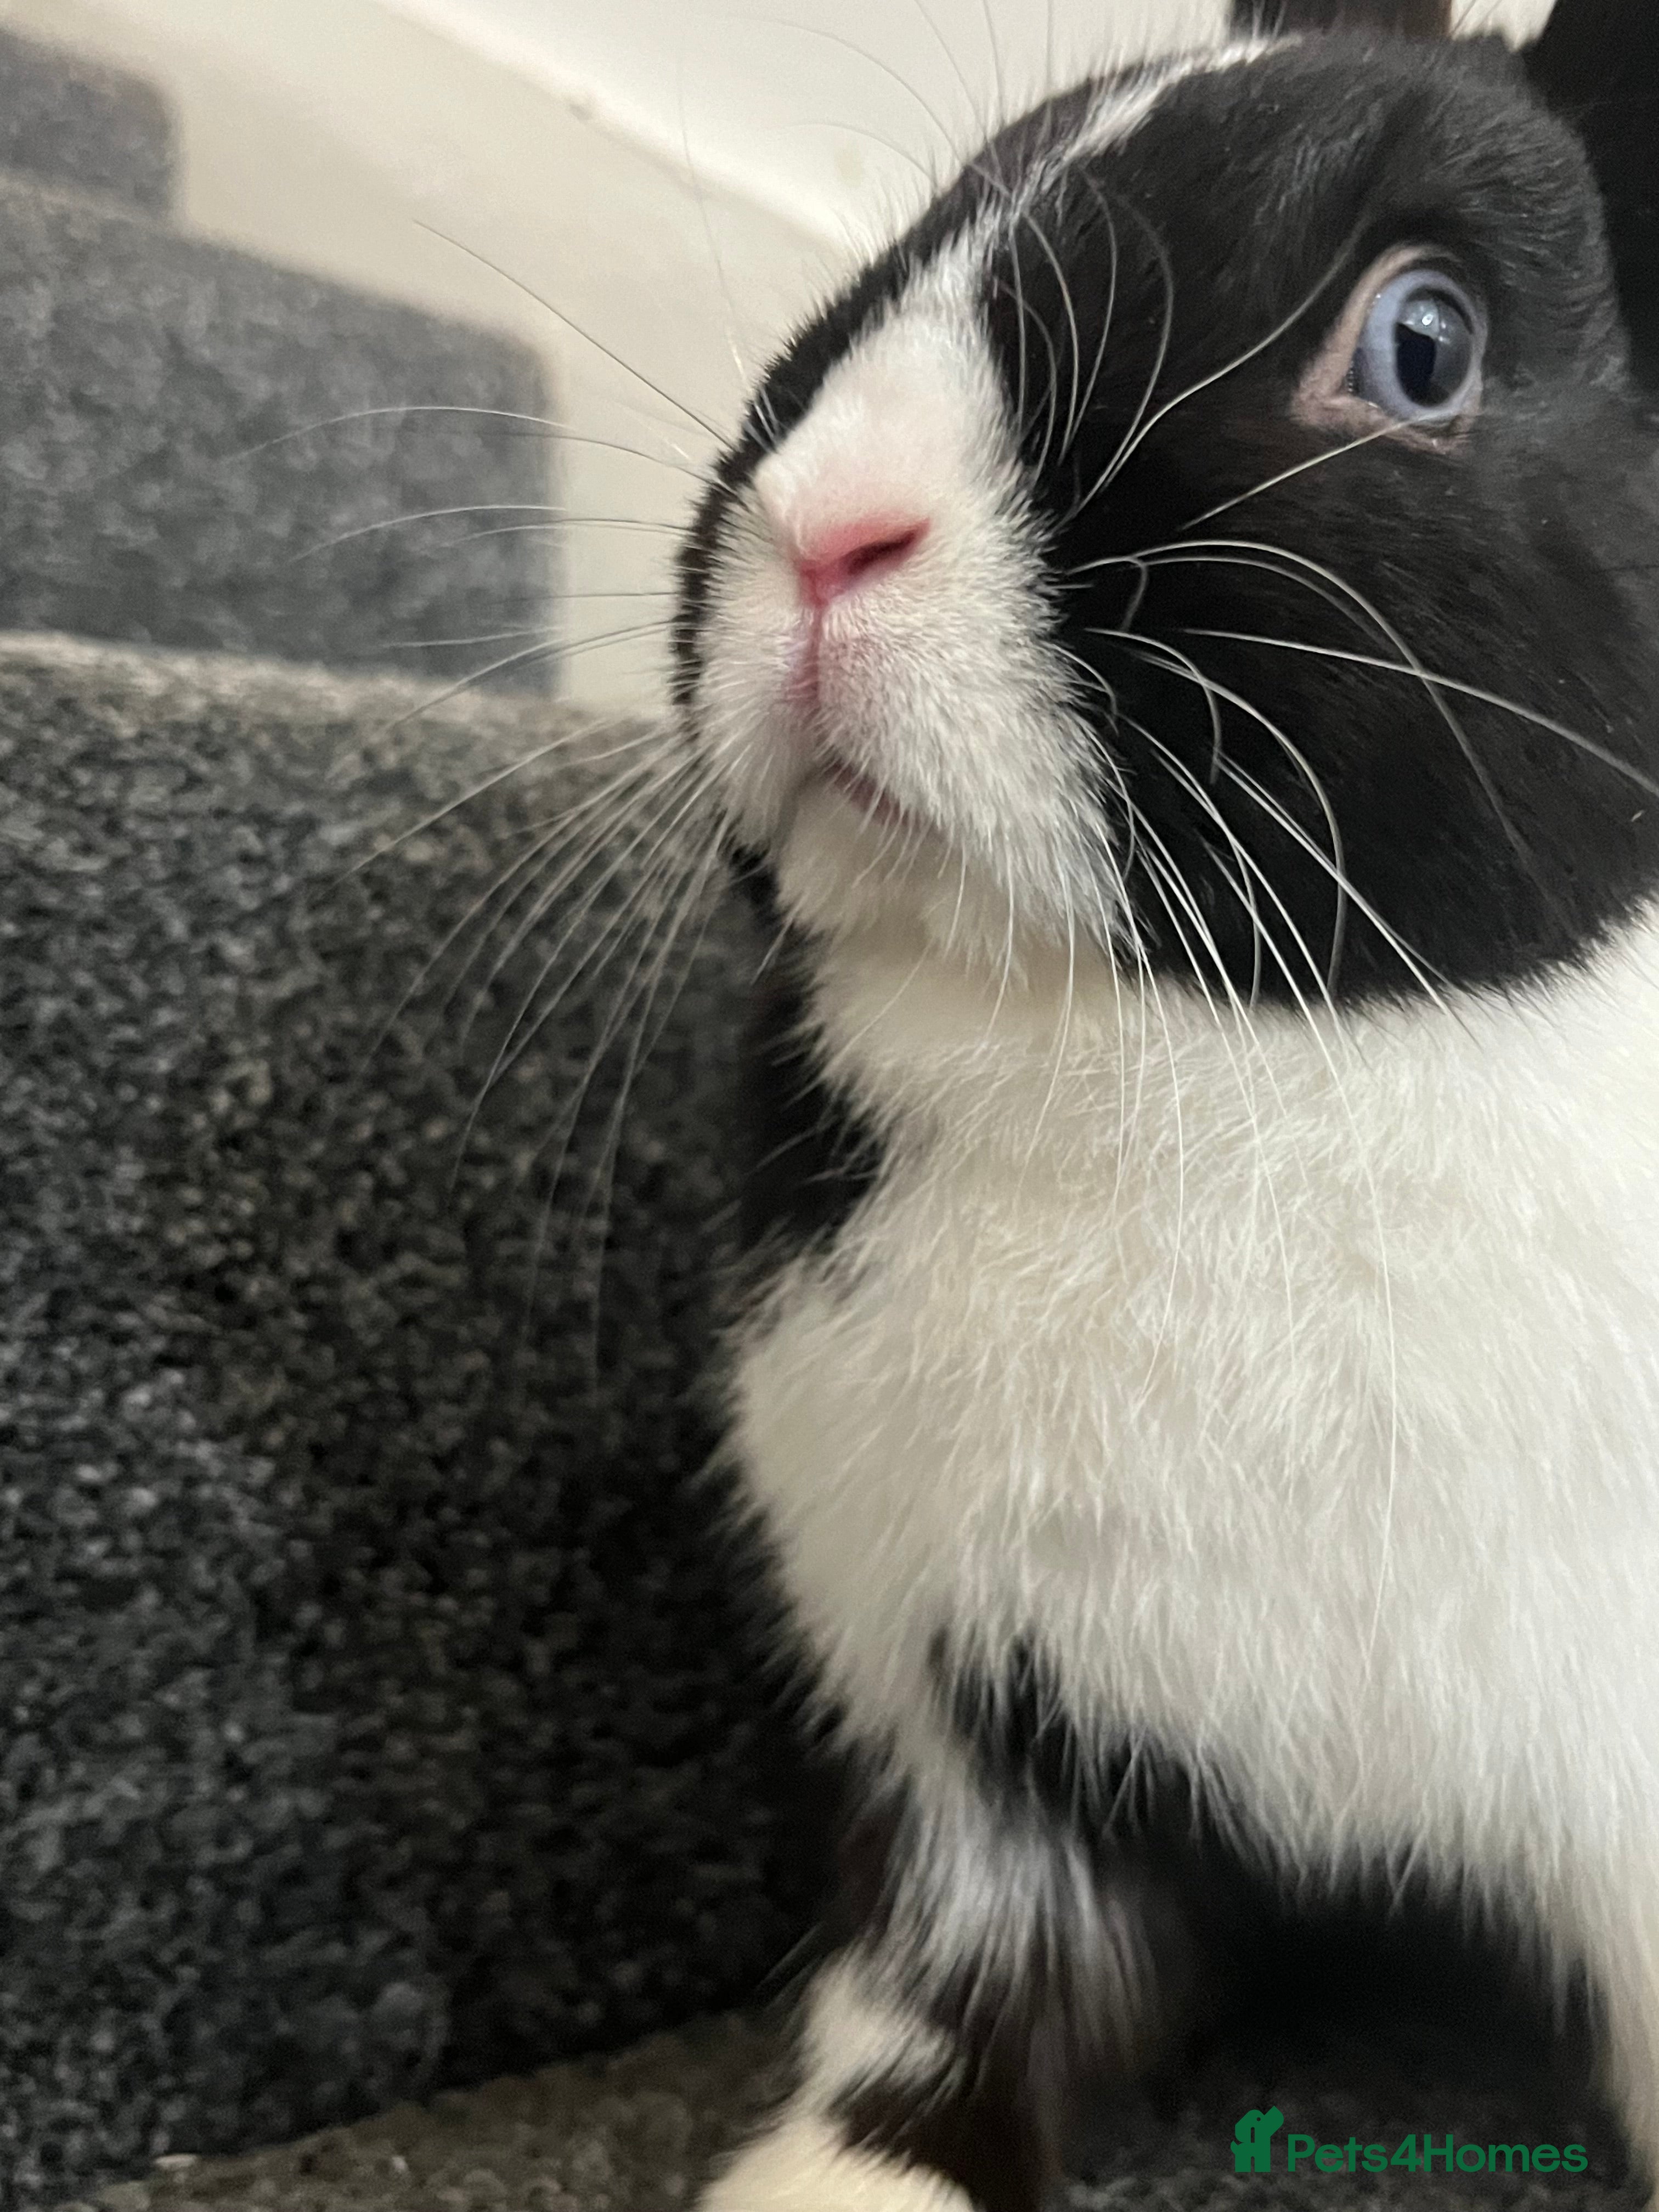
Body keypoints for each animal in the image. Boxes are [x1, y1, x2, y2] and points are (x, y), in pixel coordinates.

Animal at [668, 0, 1659, 2204]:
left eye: (1422, 341)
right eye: (923, 229)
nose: (826, 527)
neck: (1230, 1060)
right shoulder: (979, 1747)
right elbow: (932, 2006)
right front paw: (828, 2183)